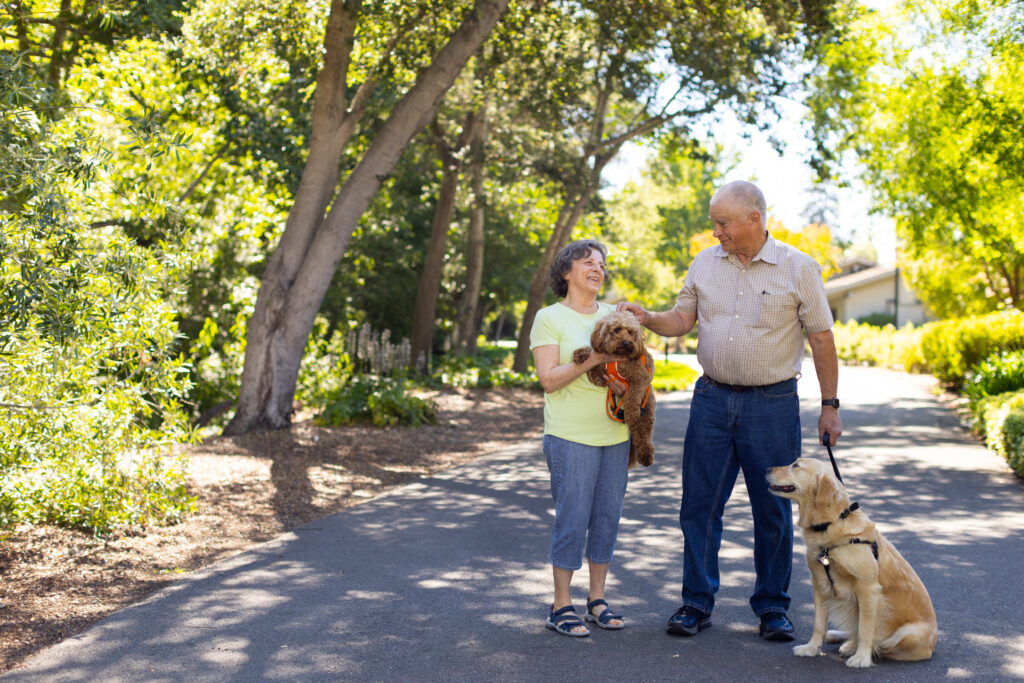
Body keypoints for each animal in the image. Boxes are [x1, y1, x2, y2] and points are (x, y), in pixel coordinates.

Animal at [573, 311, 651, 466]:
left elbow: (632, 396)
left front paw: (631, 413)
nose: (627, 343)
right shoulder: (601, 378)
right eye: (617, 329)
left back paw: (646, 457)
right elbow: (594, 364)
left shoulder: (641, 378)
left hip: (647, 412)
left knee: (644, 435)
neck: (617, 357)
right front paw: (582, 354)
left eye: (631, 332)